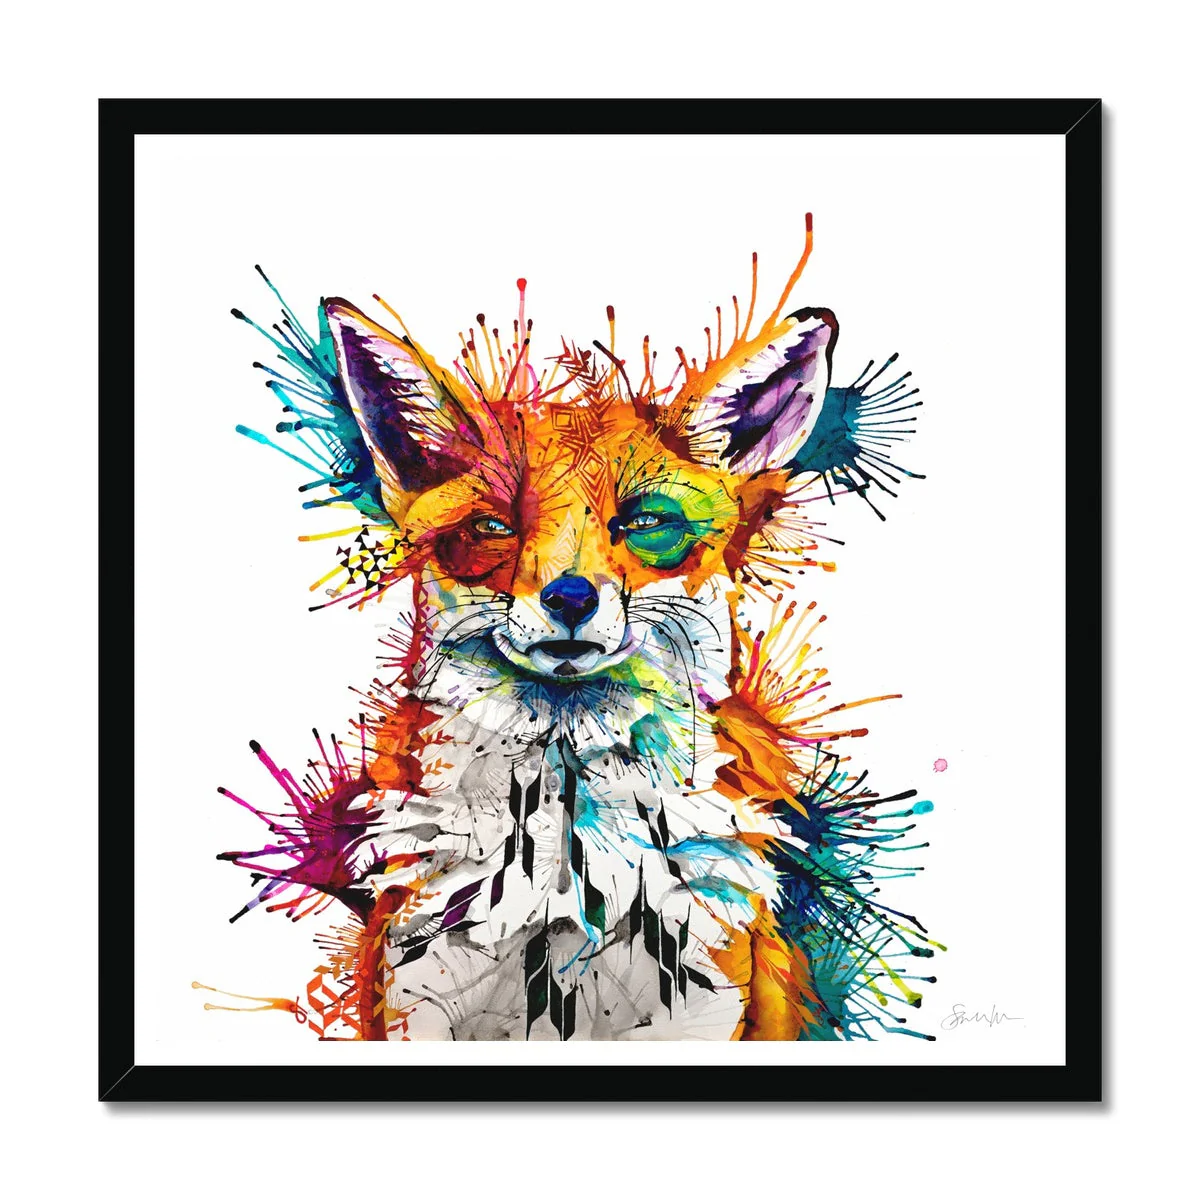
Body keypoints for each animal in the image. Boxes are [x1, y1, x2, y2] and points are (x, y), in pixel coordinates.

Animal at [219, 216, 936, 1042]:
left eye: (646, 523)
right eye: (493, 526)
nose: (568, 598)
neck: (562, 898)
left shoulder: (700, 1016)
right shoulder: (416, 1011)